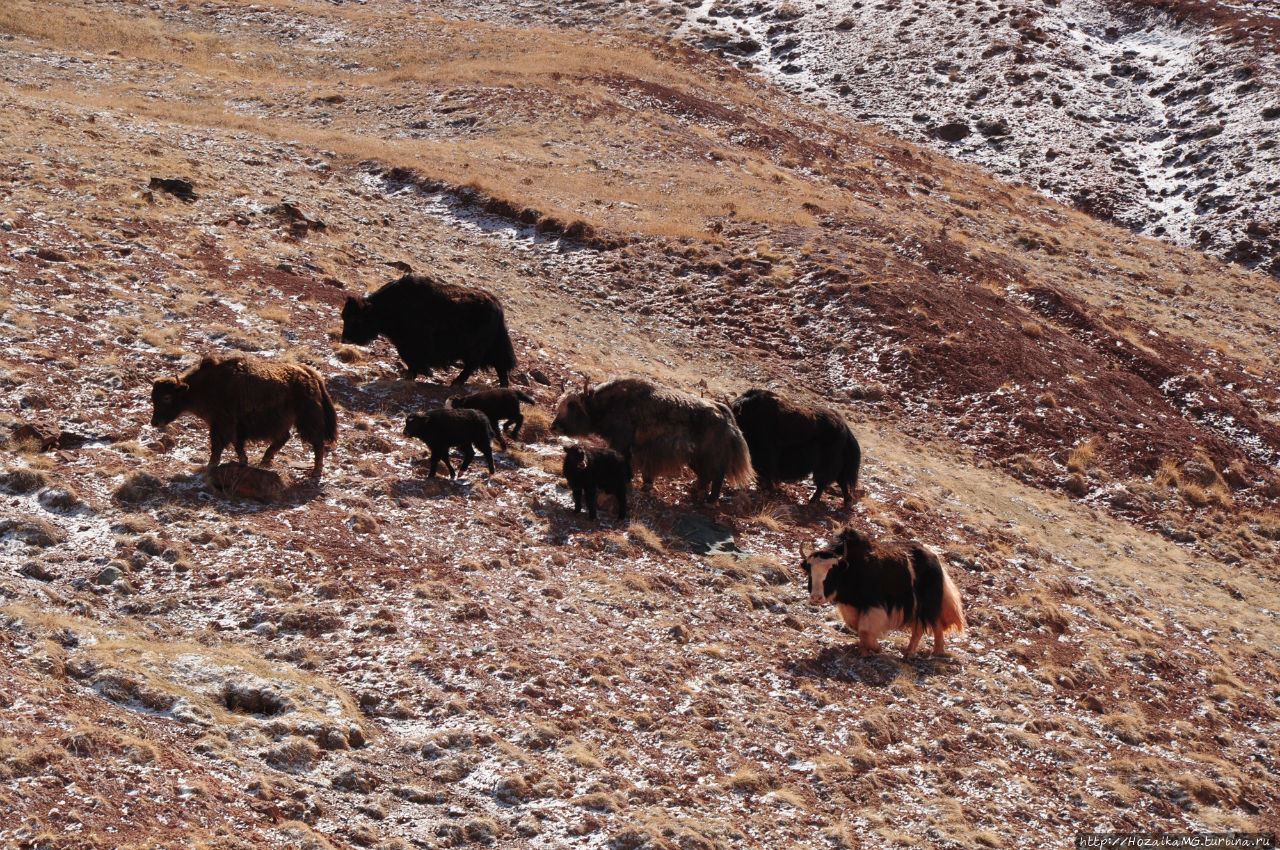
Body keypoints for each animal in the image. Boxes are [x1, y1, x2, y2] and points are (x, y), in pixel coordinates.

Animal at [149, 353, 337, 478]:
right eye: (153, 398)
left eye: (166, 397)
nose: (155, 422)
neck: (200, 387)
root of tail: (312, 375)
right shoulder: (234, 426)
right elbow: (236, 443)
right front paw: (243, 461)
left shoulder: (221, 423)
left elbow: (218, 445)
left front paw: (210, 466)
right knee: (284, 438)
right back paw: (265, 460)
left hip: (307, 419)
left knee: (316, 442)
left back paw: (315, 471)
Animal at [345, 273, 519, 386]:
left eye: (356, 319)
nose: (345, 338)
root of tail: (496, 306)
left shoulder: (412, 344)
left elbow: (412, 359)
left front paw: (422, 373)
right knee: (499, 365)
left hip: (476, 350)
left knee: (474, 365)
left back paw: (456, 383)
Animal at [547, 376, 747, 501]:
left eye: (572, 405)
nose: (554, 427)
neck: (605, 405)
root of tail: (726, 416)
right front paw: (645, 485)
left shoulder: (622, 443)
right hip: (696, 460)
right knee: (707, 476)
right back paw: (696, 493)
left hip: (710, 457)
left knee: (717, 476)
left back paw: (709, 500)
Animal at [732, 389, 860, 504]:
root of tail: (845, 428)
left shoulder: (765, 451)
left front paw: (764, 486)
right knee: (841, 481)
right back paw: (847, 500)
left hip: (827, 463)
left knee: (825, 481)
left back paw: (813, 499)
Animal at [793, 524, 962, 655]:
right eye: (809, 571)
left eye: (832, 572)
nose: (816, 597)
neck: (849, 569)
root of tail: (935, 558)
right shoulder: (851, 605)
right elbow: (856, 626)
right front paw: (864, 649)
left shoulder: (874, 604)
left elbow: (865, 629)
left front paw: (876, 648)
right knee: (926, 625)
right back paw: (921, 652)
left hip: (927, 602)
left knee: (930, 623)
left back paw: (926, 652)